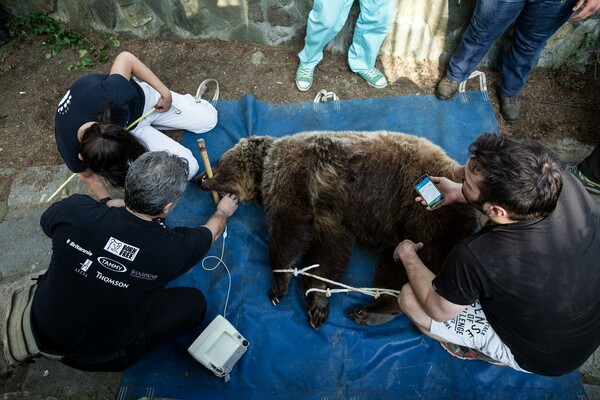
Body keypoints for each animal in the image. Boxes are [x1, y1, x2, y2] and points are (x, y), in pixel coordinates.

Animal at [199, 130, 476, 328]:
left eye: (219, 162)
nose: (200, 179)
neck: (266, 167)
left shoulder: (292, 176)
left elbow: (287, 229)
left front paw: (278, 284)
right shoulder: (327, 212)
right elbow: (327, 253)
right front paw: (317, 304)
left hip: (423, 213)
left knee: (420, 263)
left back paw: (370, 310)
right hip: (405, 230)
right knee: (394, 266)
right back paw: (372, 309)